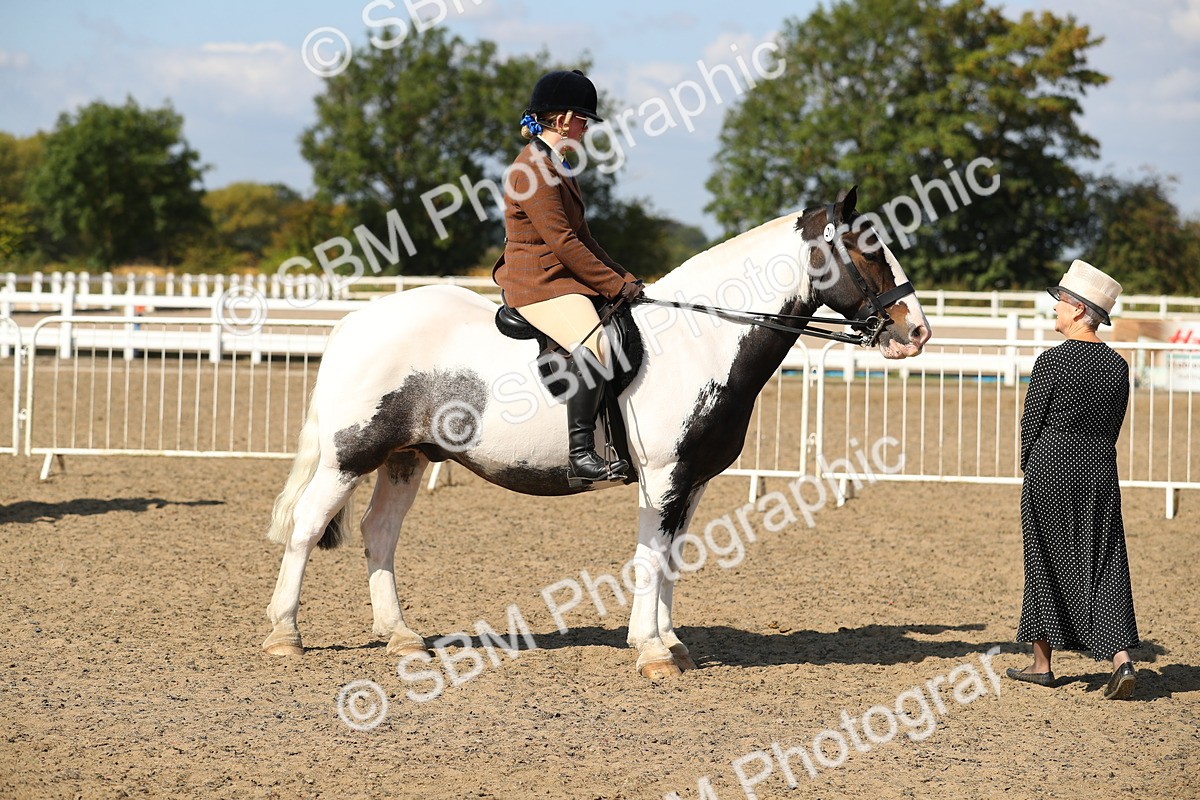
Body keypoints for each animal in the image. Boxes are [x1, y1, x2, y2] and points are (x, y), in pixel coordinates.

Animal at [262, 186, 932, 679]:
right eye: (870, 249)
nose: (917, 332)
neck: (703, 339)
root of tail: (356, 320)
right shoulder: (664, 476)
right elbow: (650, 557)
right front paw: (654, 653)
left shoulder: (689, 481)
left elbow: (670, 558)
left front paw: (668, 642)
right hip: (352, 456)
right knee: (307, 526)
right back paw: (284, 634)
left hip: (406, 456)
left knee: (379, 534)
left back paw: (401, 637)